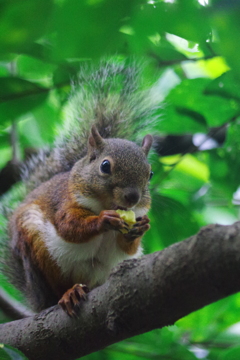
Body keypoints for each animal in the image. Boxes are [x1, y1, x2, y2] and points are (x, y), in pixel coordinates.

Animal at [1, 60, 154, 316]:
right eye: (105, 166)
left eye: (150, 174)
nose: (132, 197)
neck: (106, 202)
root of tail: (37, 300)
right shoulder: (66, 200)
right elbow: (68, 225)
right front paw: (104, 219)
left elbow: (127, 249)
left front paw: (140, 228)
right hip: (39, 252)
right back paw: (68, 294)